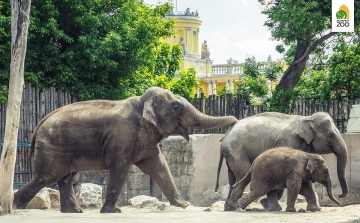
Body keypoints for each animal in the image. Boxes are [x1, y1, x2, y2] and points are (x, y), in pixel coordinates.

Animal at [14, 86, 239, 213]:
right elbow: (121, 168)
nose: (236, 121)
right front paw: (112, 212)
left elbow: (159, 166)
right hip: (53, 148)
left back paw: (74, 212)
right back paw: (17, 206)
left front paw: (183, 205)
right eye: (176, 107)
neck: (141, 101)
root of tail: (39, 125)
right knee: (47, 177)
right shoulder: (124, 137)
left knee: (65, 178)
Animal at [217, 112, 348, 212]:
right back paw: (236, 206)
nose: (340, 196)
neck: (306, 118)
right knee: (242, 175)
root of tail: (225, 136)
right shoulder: (290, 141)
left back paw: (229, 208)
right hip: (236, 150)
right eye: (330, 135)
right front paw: (266, 203)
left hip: (231, 154)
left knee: (233, 179)